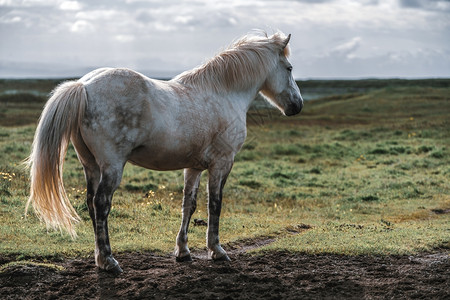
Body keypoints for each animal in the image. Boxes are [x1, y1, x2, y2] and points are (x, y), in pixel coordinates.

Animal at [26, 31, 304, 274]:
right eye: (289, 68)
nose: (297, 105)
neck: (223, 92)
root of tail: (83, 85)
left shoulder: (194, 167)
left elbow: (188, 205)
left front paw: (183, 251)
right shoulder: (222, 164)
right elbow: (215, 204)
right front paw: (216, 250)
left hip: (91, 165)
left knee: (91, 204)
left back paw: (99, 259)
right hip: (112, 167)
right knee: (101, 203)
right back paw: (109, 262)